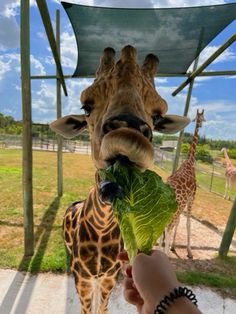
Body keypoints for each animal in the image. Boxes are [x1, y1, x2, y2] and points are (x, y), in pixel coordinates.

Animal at [50, 44, 190, 314]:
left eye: (158, 116)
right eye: (86, 106)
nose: (129, 133)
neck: (102, 228)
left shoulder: (108, 277)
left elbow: (102, 308)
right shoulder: (83, 278)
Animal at [164, 109, 205, 258]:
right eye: (203, 117)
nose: (201, 123)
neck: (190, 162)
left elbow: (180, 223)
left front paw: (173, 246)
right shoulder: (192, 197)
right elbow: (187, 223)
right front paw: (189, 251)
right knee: (168, 228)